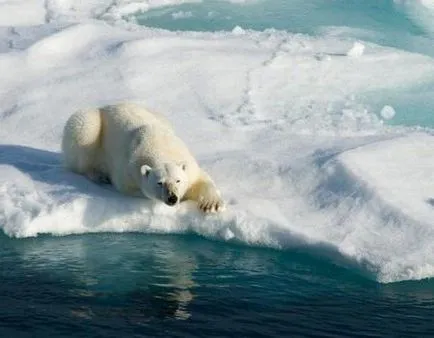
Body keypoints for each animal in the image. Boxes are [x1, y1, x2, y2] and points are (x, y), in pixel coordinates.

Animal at [62, 101, 224, 213]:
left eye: (178, 180)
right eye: (159, 182)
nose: (172, 198)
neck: (161, 147)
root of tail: (105, 106)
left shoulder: (188, 163)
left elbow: (201, 179)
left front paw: (211, 204)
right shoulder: (127, 170)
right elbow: (133, 188)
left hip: (159, 115)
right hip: (90, 125)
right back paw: (98, 175)